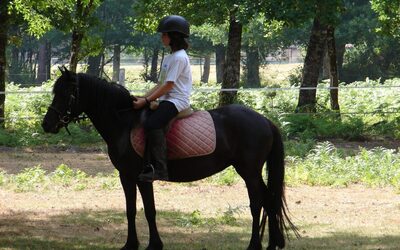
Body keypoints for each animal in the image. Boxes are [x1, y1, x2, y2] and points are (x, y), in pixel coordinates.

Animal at [42, 67, 296, 249]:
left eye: (67, 94)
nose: (47, 124)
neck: (125, 122)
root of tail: (265, 121)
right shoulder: (126, 177)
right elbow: (131, 209)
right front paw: (131, 245)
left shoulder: (141, 176)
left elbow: (149, 210)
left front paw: (153, 245)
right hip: (252, 172)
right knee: (270, 200)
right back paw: (273, 244)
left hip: (249, 172)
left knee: (258, 203)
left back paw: (254, 245)